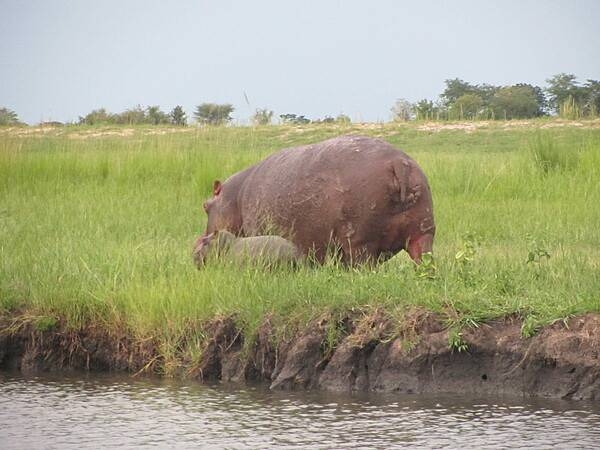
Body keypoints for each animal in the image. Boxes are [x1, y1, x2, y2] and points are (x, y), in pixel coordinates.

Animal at [195, 135, 434, 266]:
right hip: (423, 230)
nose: (200, 239)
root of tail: (397, 163)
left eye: (205, 206)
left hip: (360, 243)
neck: (234, 197)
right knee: (423, 257)